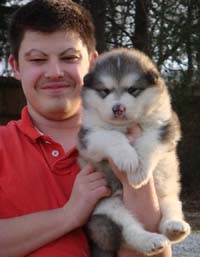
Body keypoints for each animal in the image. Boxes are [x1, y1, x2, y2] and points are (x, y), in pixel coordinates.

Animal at [77, 47, 191, 255]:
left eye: (133, 90)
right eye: (105, 91)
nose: (118, 108)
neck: (126, 125)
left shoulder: (165, 125)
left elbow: (148, 143)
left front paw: (138, 172)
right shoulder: (88, 135)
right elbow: (112, 136)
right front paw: (128, 159)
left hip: (168, 194)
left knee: (170, 212)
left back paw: (175, 227)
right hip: (109, 209)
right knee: (128, 232)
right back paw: (150, 240)